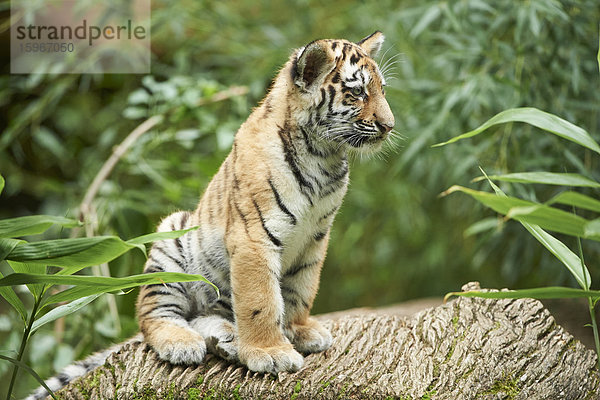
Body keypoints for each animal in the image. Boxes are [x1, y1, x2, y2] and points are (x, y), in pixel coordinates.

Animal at [27, 29, 394, 398]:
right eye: (357, 92)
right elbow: (261, 300)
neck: (323, 155)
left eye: (382, 89)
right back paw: (184, 343)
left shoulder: (315, 237)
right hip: (172, 238)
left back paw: (226, 338)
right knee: (153, 315)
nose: (389, 126)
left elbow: (300, 289)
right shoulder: (254, 237)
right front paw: (270, 352)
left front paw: (298, 329)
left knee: (204, 315)